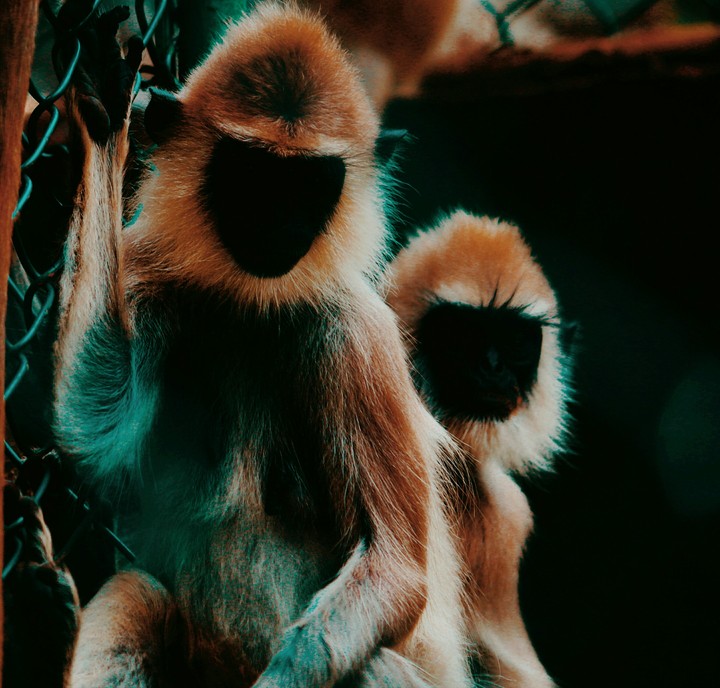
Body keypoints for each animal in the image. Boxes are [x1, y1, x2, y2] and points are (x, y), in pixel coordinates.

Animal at [52, 3, 472, 687]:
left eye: (308, 184)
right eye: (253, 175)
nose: (279, 221)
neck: (252, 303)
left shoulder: (358, 334)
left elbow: (398, 574)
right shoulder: (146, 270)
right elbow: (91, 431)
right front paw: (103, 115)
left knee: (371, 663)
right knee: (138, 591)